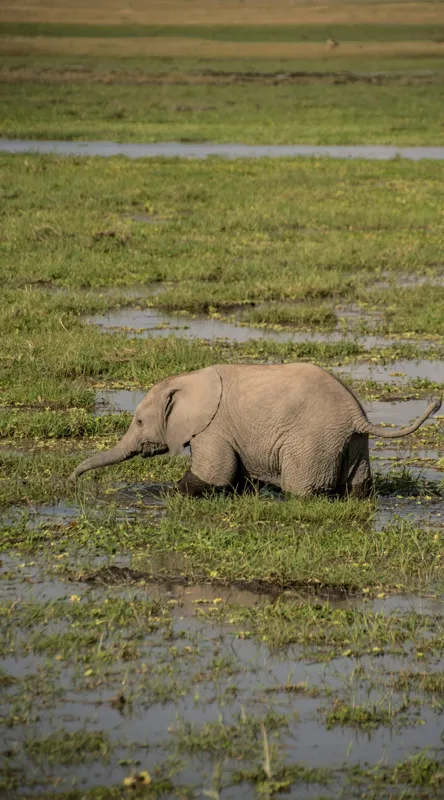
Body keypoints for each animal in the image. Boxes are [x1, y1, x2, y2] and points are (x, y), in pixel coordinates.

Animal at [69, 363, 441, 499]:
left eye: (139, 422)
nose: (72, 480)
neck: (188, 378)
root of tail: (356, 416)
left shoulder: (213, 428)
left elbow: (213, 475)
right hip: (353, 444)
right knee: (359, 487)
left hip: (312, 442)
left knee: (300, 489)